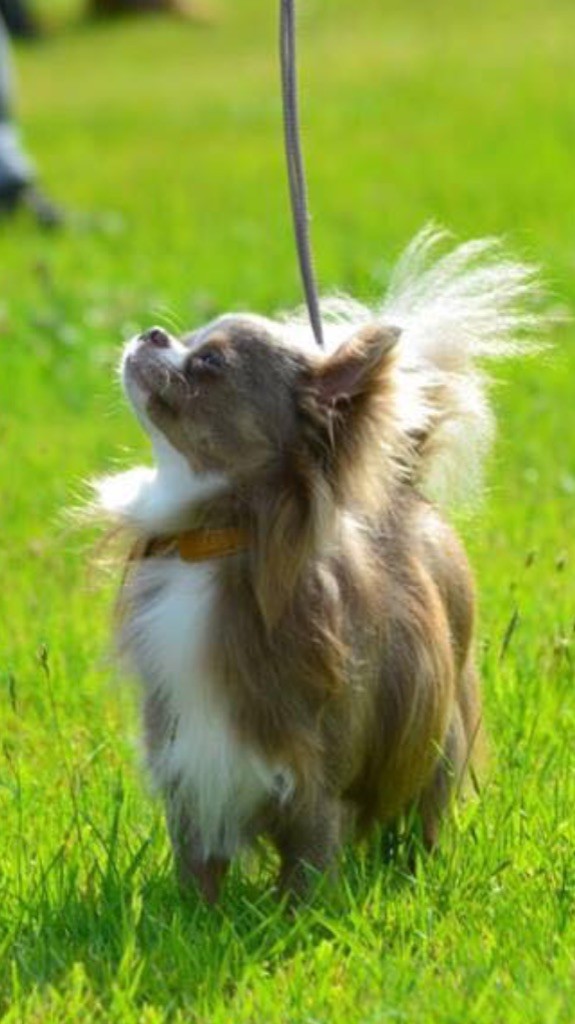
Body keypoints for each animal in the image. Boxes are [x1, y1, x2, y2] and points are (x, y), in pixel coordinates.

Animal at [92, 228, 543, 902]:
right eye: (187, 337)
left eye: (209, 364)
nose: (153, 334)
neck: (217, 537)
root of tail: (402, 484)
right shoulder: (191, 769)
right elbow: (197, 868)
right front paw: (194, 917)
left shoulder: (312, 785)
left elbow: (307, 874)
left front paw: (296, 920)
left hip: (439, 728)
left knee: (428, 811)